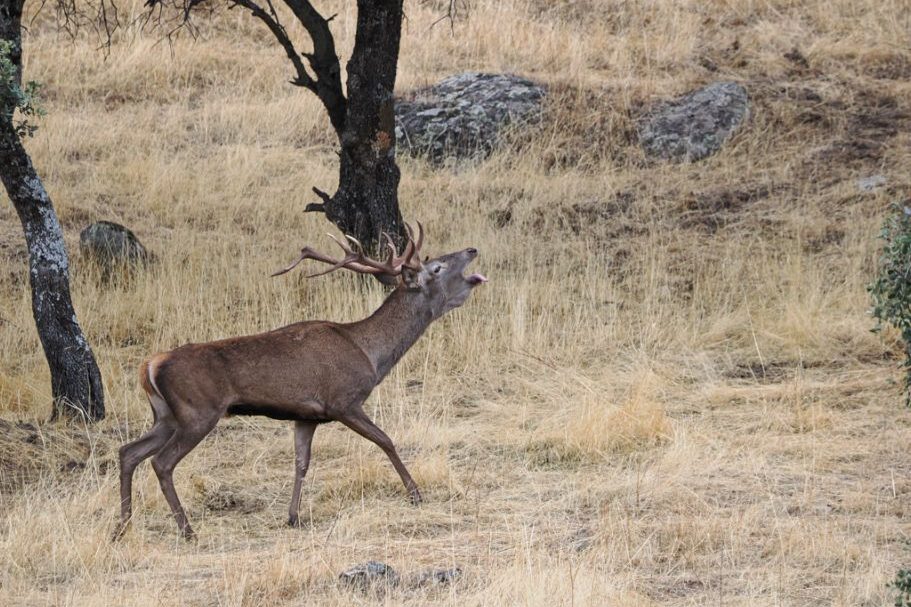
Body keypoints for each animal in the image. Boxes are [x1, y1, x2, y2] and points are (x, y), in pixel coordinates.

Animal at [114, 223, 487, 540]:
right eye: (436, 267)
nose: (472, 249)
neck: (370, 353)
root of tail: (150, 365)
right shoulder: (343, 400)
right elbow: (386, 440)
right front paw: (415, 493)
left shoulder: (306, 416)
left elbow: (301, 463)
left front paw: (292, 516)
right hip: (197, 412)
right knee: (161, 462)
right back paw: (187, 530)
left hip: (166, 416)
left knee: (128, 452)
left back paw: (123, 525)